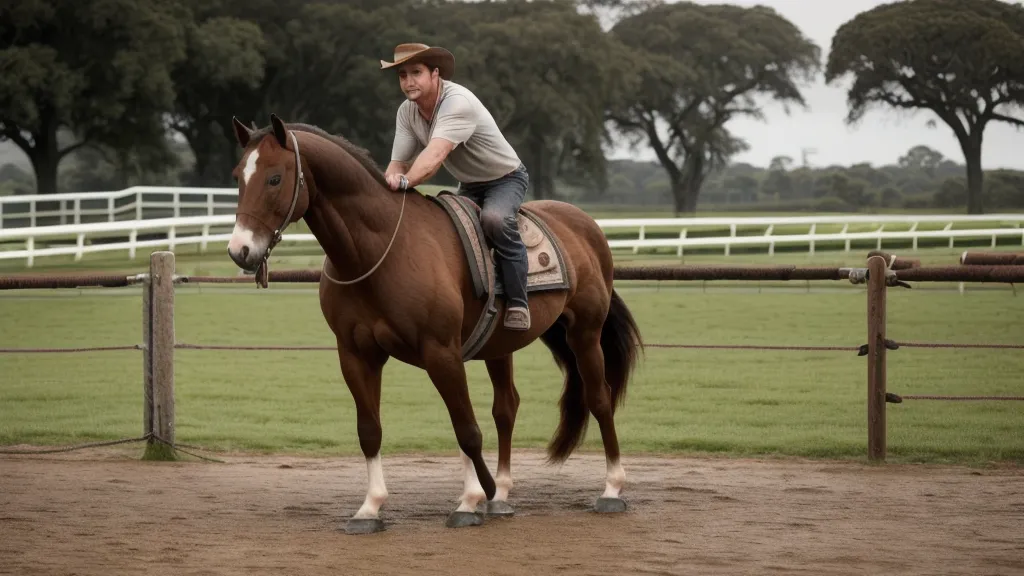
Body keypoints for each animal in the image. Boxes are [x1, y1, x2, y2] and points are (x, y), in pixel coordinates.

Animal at [226, 114, 643, 534]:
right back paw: (503, 493)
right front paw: (371, 508)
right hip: (501, 346)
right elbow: (371, 431)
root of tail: (586, 226)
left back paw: (611, 488)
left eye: (274, 178)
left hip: (585, 334)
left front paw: (471, 499)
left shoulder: (441, 352)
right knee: (506, 407)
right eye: (237, 177)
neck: (380, 251)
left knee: (599, 399)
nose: (239, 250)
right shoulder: (356, 356)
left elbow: (467, 430)